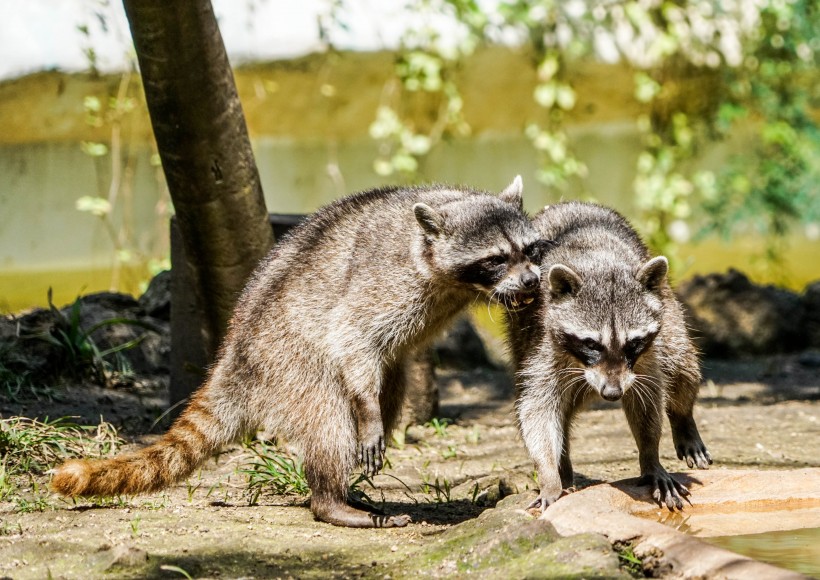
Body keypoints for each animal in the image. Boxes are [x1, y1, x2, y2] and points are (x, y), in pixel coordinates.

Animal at [52, 179, 552, 528]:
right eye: (495, 259)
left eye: (529, 250)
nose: (531, 281)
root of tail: (234, 356)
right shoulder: (385, 280)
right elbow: (350, 333)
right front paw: (364, 416)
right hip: (288, 360)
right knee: (332, 418)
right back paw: (330, 498)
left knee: (389, 390)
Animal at [510, 202, 716, 510]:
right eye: (591, 344)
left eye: (634, 343)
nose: (611, 393)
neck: (601, 266)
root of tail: (573, 203)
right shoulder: (543, 342)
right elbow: (538, 408)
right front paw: (548, 475)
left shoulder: (645, 357)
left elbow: (647, 397)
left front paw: (650, 456)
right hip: (518, 336)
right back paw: (563, 467)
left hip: (668, 309)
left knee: (681, 363)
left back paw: (684, 420)